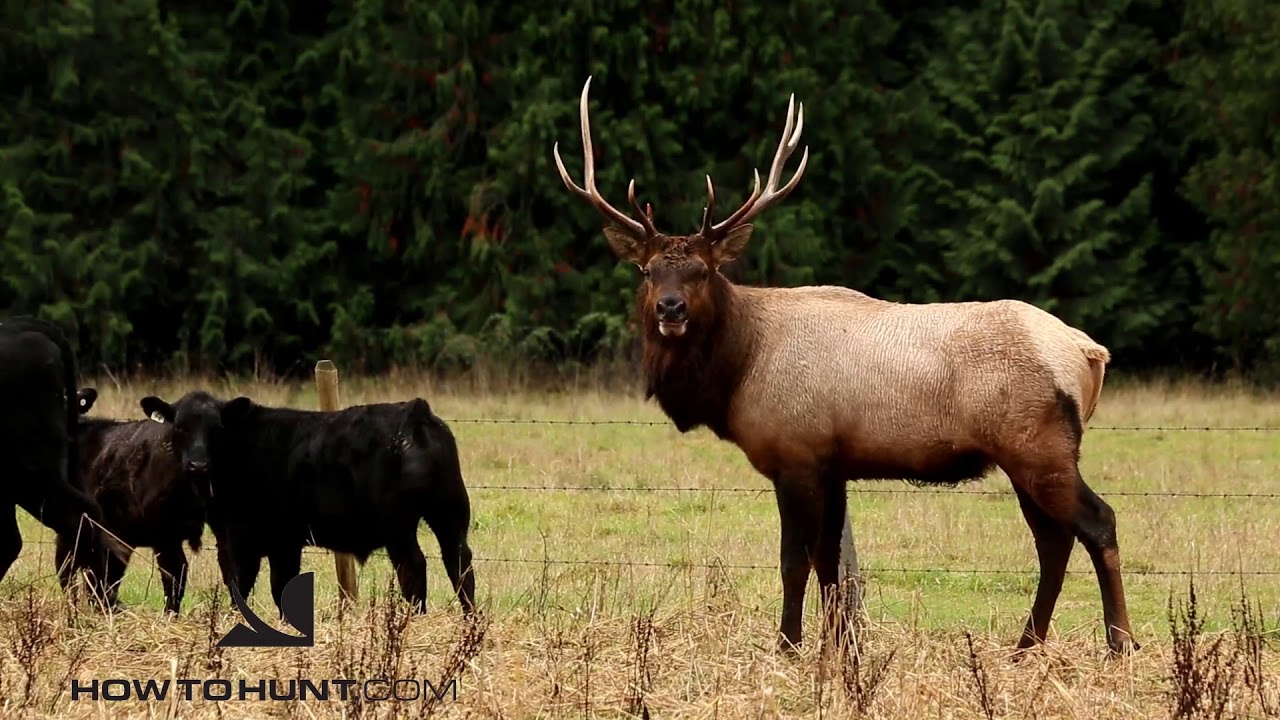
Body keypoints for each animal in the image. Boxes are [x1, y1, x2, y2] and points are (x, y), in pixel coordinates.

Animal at [138, 393, 477, 616]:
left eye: (217, 428)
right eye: (180, 427)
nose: (197, 464)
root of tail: (415, 409)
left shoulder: (243, 539)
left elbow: (243, 583)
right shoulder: (283, 542)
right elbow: (281, 586)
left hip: (400, 526)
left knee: (414, 567)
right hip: (450, 512)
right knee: (459, 562)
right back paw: (469, 618)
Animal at [551, 76, 1139, 658]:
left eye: (703, 270)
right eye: (648, 271)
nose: (670, 309)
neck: (738, 370)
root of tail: (1089, 353)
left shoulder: (795, 455)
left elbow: (795, 562)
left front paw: (788, 646)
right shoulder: (833, 464)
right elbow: (830, 565)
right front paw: (839, 649)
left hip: (1038, 445)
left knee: (1097, 522)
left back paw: (1119, 644)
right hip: (1026, 455)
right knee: (1054, 540)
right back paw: (1025, 646)